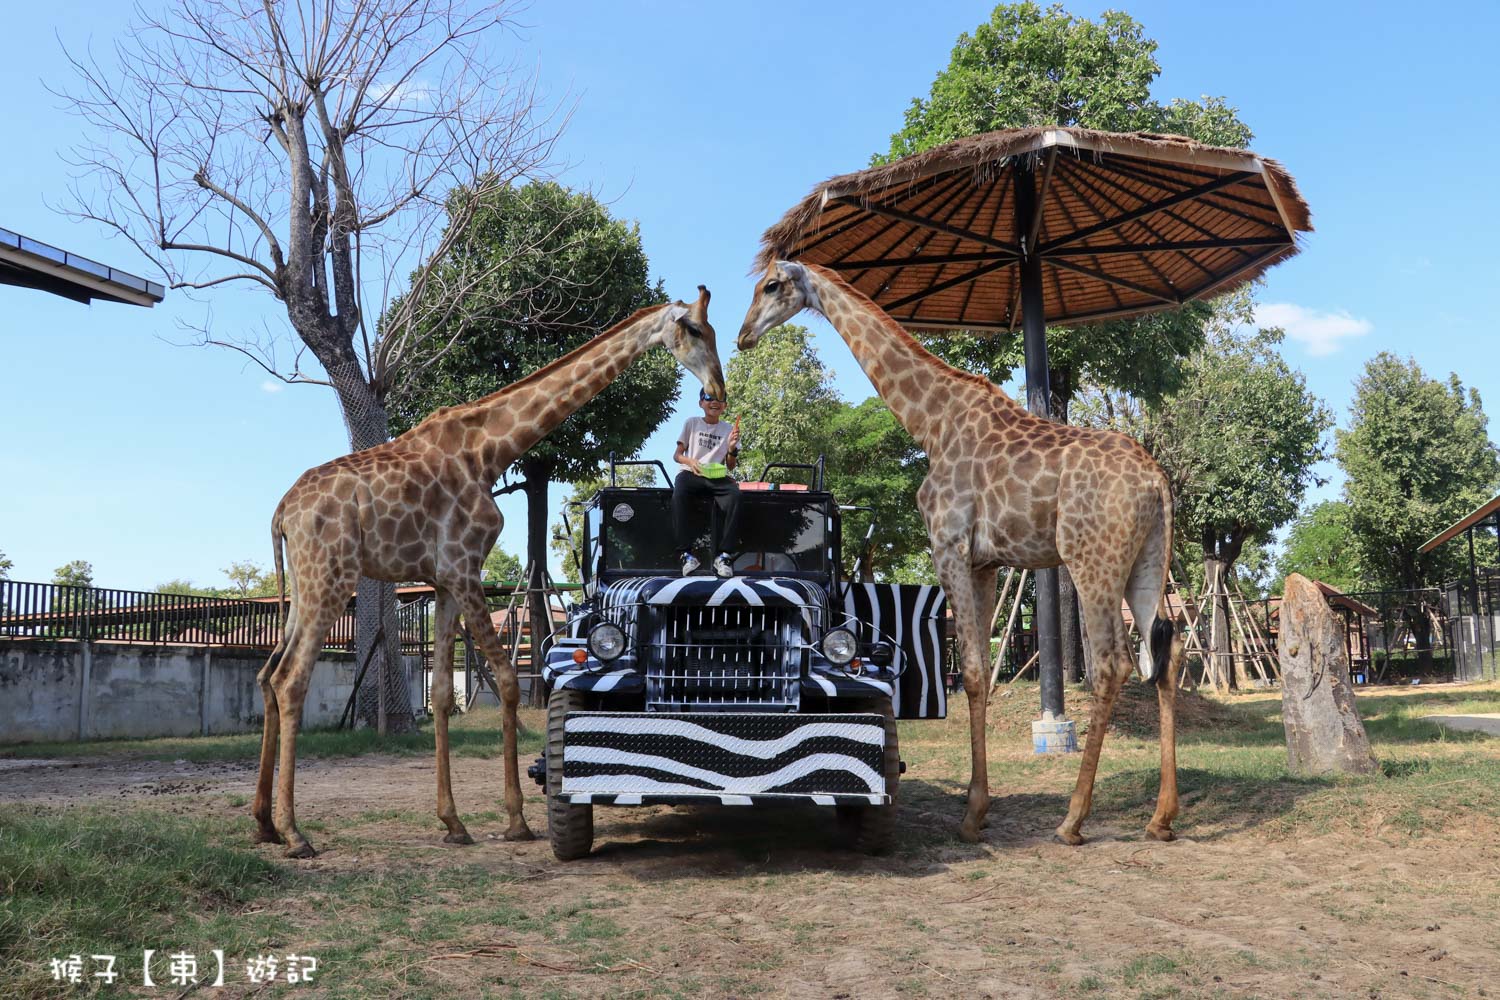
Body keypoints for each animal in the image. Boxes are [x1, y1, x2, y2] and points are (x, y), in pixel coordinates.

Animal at [253, 284, 726, 857]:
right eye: (693, 329)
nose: (718, 388)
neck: (490, 451)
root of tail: (282, 511)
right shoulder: (465, 567)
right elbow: (503, 678)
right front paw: (517, 819)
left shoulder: (443, 580)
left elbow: (440, 693)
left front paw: (454, 823)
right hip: (331, 577)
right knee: (291, 679)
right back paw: (295, 833)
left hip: (305, 585)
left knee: (268, 675)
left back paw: (263, 822)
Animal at [738, 263, 1182, 845]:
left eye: (770, 285)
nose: (743, 336)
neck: (930, 422)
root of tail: (1157, 482)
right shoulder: (987, 562)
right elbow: (981, 672)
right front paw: (980, 808)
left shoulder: (947, 545)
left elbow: (969, 670)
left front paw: (972, 815)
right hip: (1147, 563)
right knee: (1166, 657)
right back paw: (1161, 818)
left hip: (1091, 559)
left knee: (1113, 664)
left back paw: (1072, 820)